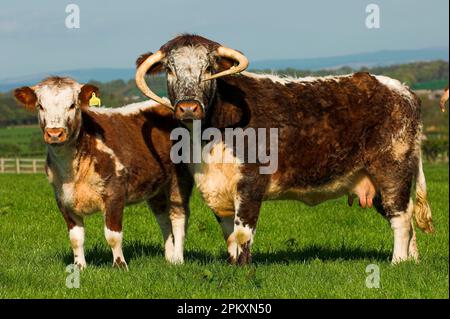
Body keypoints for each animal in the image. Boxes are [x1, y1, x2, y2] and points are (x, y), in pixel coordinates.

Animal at [13, 77, 193, 270]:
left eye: (72, 105)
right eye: (40, 106)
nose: (55, 133)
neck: (72, 171)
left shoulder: (115, 194)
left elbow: (113, 235)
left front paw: (120, 265)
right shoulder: (62, 199)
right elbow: (76, 238)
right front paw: (79, 267)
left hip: (180, 178)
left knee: (178, 217)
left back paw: (178, 259)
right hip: (156, 187)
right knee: (163, 218)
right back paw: (169, 257)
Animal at [135, 33, 434, 266]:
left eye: (209, 68)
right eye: (170, 69)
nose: (188, 107)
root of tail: (403, 89)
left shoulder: (251, 183)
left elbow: (243, 232)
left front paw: (243, 269)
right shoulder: (216, 187)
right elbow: (229, 234)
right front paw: (232, 265)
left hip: (392, 170)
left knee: (400, 217)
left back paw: (397, 262)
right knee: (407, 217)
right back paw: (412, 261)